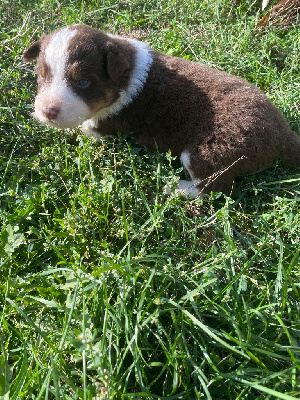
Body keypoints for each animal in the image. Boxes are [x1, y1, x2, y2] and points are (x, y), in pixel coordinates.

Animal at [22, 24, 300, 198]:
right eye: (41, 76)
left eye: (82, 82)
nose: (47, 111)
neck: (126, 73)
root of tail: (283, 134)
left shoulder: (105, 126)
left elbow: (83, 128)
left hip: (210, 152)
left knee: (214, 188)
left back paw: (174, 187)